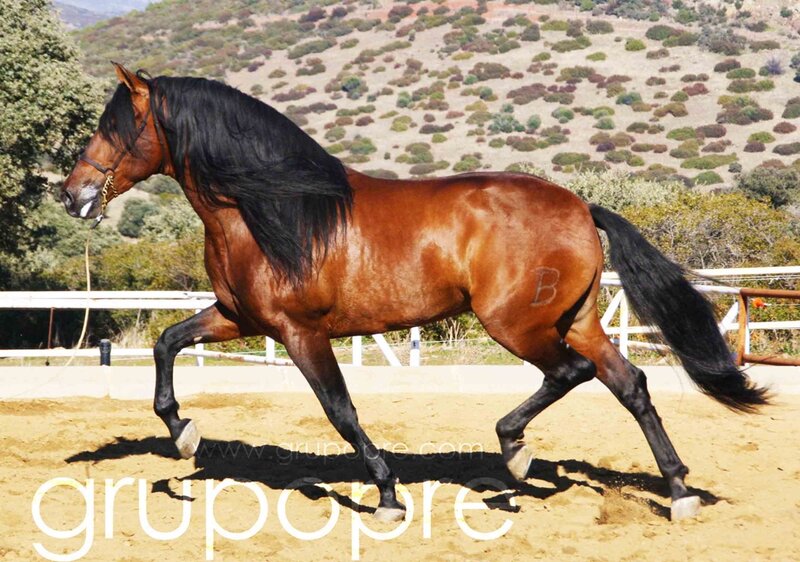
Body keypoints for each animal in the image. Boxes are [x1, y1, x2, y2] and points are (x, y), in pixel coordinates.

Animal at [60, 63, 768, 522]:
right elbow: (166, 343)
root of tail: (578, 205)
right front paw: (184, 434)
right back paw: (678, 492)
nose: (72, 195)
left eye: (117, 127)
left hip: (518, 325)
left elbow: (340, 411)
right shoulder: (240, 317)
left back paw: (515, 455)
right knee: (630, 384)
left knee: (571, 374)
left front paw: (387, 496)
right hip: (576, 319)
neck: (269, 206)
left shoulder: (299, 331)